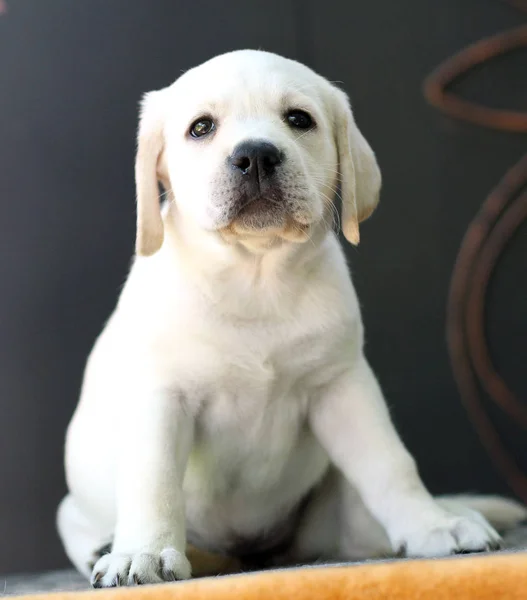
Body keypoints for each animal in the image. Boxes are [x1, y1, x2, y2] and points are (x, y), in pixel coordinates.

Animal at [55, 50, 524, 584]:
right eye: (201, 127)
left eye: (299, 119)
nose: (256, 156)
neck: (255, 279)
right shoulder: (160, 395)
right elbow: (153, 480)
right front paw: (145, 553)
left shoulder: (342, 387)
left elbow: (389, 462)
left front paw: (432, 525)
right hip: (70, 511)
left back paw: (451, 514)